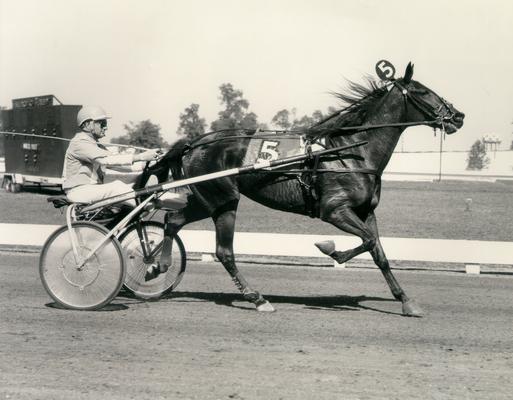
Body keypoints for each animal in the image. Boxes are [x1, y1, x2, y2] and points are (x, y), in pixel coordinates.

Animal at [135, 65, 464, 316]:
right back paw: (257, 298)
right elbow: (367, 241)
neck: (351, 151)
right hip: (223, 199)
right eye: (423, 91)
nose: (458, 115)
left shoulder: (366, 211)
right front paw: (331, 249)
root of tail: (194, 143)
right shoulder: (334, 210)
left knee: (173, 221)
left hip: (210, 199)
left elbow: (379, 252)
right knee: (223, 251)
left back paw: (157, 264)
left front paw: (406, 301)